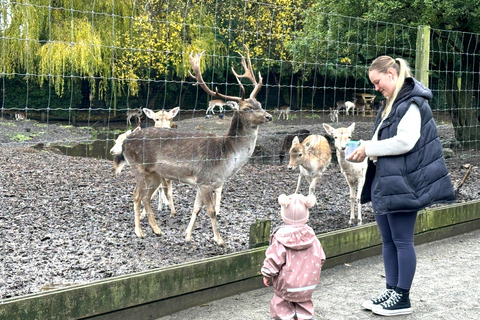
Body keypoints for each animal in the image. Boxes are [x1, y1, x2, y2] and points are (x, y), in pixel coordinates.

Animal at [112, 45, 270, 245]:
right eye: (248, 108)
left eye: (260, 103)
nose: (268, 116)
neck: (226, 157)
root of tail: (125, 142)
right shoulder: (205, 179)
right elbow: (210, 211)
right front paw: (219, 240)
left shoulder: (204, 182)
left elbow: (196, 208)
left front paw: (187, 235)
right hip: (139, 168)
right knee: (136, 196)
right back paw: (139, 232)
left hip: (155, 174)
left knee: (146, 197)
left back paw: (157, 230)